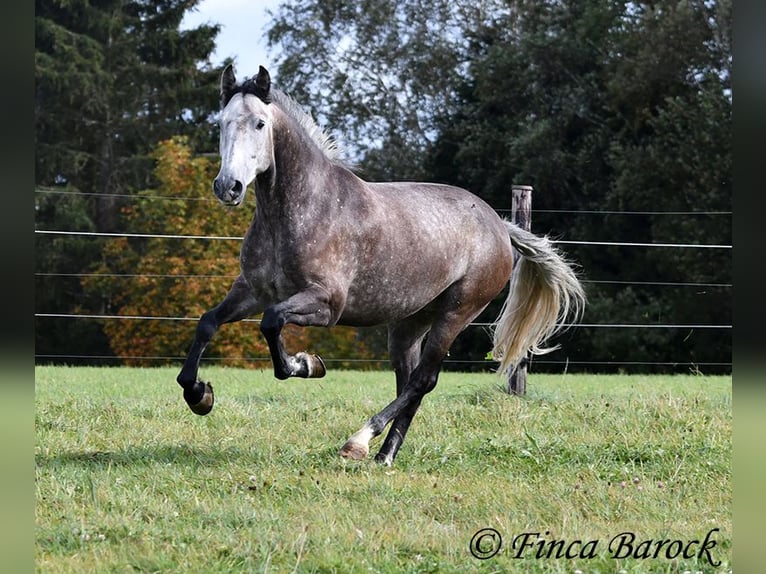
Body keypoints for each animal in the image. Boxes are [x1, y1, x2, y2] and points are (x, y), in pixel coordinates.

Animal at [177, 65, 584, 466]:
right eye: (222, 122)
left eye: (260, 123)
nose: (228, 187)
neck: (304, 208)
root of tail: (499, 224)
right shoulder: (251, 291)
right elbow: (208, 322)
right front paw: (199, 395)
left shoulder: (326, 304)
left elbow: (272, 324)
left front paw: (307, 364)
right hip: (409, 324)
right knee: (411, 382)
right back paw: (385, 455)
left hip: (456, 313)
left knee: (423, 380)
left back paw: (359, 442)